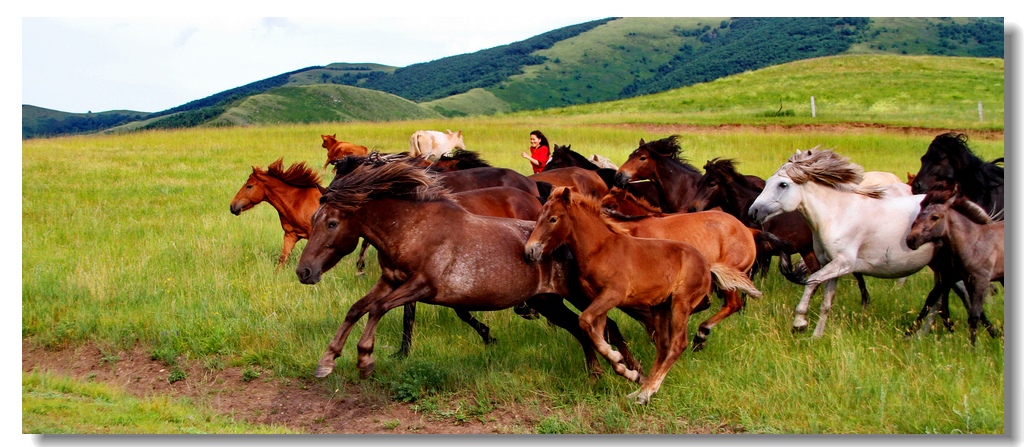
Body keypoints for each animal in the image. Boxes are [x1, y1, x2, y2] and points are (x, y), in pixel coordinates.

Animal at [292, 154, 638, 380]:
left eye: (332, 223)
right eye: (314, 218)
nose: (303, 271)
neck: (411, 229)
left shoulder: (422, 286)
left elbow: (377, 308)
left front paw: (365, 359)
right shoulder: (390, 281)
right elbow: (357, 308)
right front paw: (327, 361)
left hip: (578, 295)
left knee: (607, 326)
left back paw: (631, 370)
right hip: (548, 301)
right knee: (580, 329)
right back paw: (596, 373)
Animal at [524, 186, 757, 403]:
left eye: (553, 219)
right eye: (539, 216)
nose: (530, 251)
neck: (601, 248)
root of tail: (707, 265)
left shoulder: (614, 295)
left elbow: (585, 321)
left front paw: (618, 358)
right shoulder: (598, 300)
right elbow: (597, 332)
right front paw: (625, 368)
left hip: (680, 303)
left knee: (678, 344)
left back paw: (647, 392)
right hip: (660, 307)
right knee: (663, 347)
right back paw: (640, 390)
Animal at [745, 148, 937, 335]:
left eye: (783, 184)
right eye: (767, 182)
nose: (753, 212)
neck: (837, 214)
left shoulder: (844, 263)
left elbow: (812, 280)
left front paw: (799, 322)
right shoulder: (831, 265)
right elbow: (826, 304)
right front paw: (816, 336)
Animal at [909, 186, 1003, 343]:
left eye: (935, 217)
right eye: (919, 214)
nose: (910, 239)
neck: (974, 242)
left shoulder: (981, 280)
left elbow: (974, 314)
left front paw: (973, 347)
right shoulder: (960, 278)